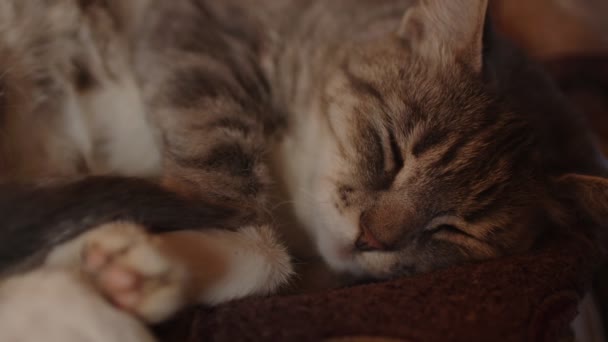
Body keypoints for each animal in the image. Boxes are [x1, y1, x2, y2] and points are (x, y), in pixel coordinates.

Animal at [0, 0, 604, 340]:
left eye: (454, 229)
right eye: (392, 150)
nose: (370, 239)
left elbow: (271, 259)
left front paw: (132, 264)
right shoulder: (195, 45)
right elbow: (224, 194)